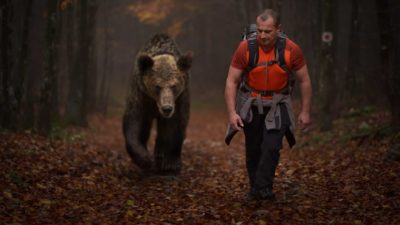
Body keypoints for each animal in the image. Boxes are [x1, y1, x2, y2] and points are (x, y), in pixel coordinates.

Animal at [122, 33, 193, 175]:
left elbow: (175, 125)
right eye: (157, 86)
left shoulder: (179, 99)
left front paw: (169, 163)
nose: (167, 108)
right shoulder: (141, 96)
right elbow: (134, 123)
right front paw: (144, 159)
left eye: (174, 85)